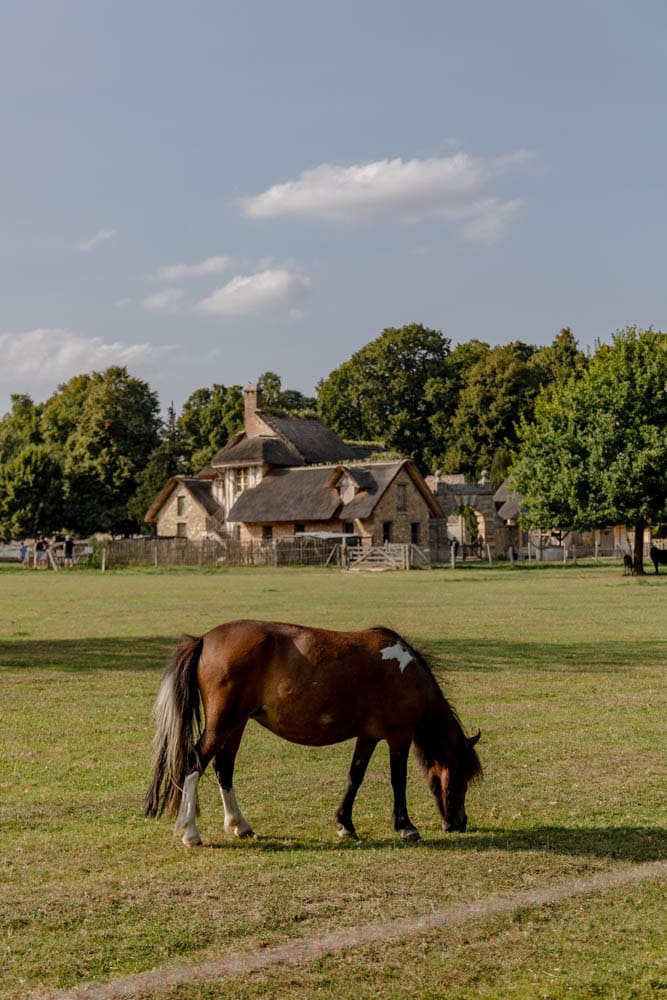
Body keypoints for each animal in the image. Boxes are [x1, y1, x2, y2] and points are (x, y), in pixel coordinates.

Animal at [145, 620, 482, 846]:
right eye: (460, 778)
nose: (459, 823)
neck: (405, 673)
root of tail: (204, 639)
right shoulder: (398, 736)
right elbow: (398, 780)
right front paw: (406, 826)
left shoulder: (368, 736)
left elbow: (355, 776)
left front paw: (345, 824)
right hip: (223, 724)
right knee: (194, 764)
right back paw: (191, 832)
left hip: (235, 725)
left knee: (223, 769)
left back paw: (240, 825)